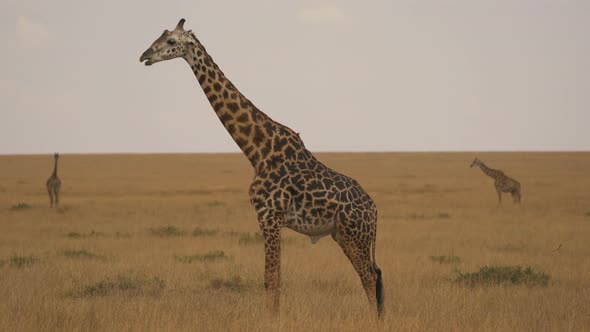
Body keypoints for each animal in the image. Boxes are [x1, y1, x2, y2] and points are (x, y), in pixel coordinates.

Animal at [141, 19, 386, 318]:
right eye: (161, 36)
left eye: (171, 42)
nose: (144, 56)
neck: (257, 151)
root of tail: (374, 209)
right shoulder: (270, 218)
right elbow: (273, 277)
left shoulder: (269, 216)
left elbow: (271, 279)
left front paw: (272, 320)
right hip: (343, 234)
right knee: (374, 273)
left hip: (355, 234)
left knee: (369, 275)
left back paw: (373, 321)